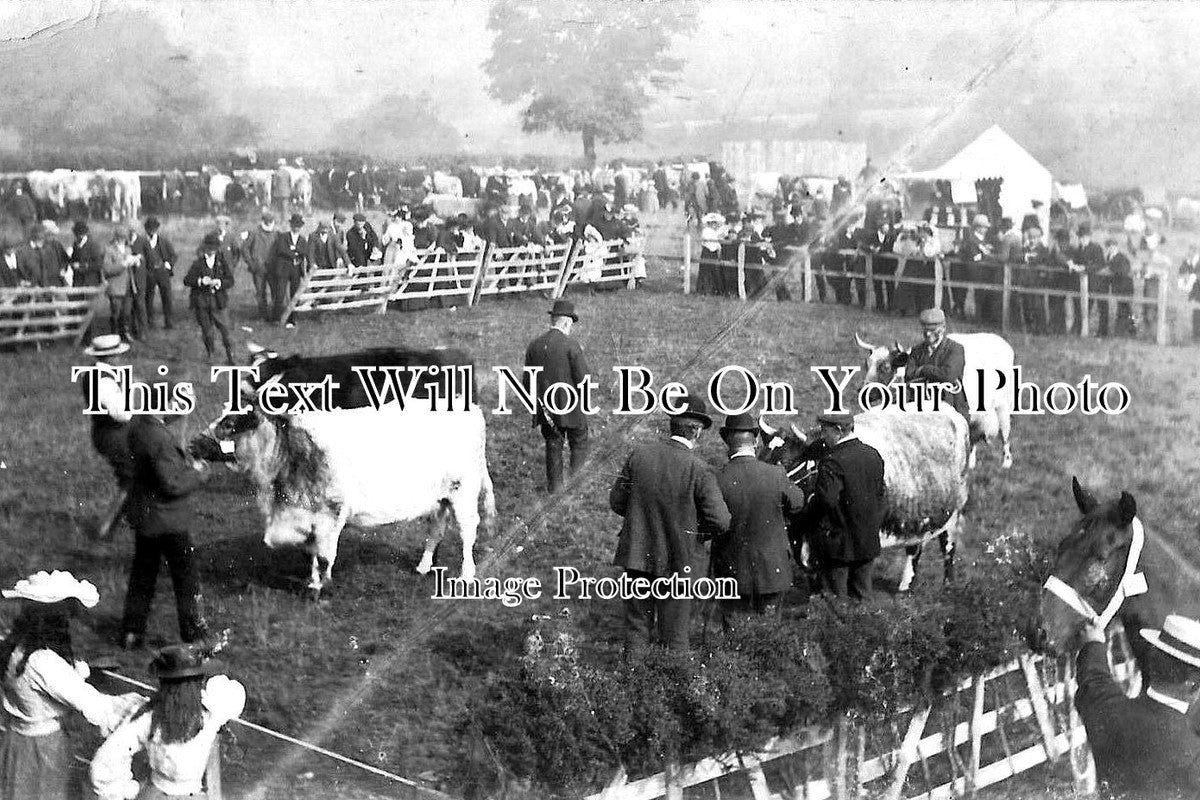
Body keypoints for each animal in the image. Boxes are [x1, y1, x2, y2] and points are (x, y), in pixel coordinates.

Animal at [190, 347, 496, 597]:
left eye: (231, 423)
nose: (193, 444)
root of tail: (469, 407)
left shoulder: (331, 514)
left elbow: (325, 556)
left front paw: (321, 589)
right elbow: (311, 553)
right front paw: (313, 582)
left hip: (464, 491)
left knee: (468, 530)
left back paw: (467, 574)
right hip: (441, 496)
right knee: (437, 527)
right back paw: (423, 566)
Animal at [763, 410, 969, 592]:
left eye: (786, 462)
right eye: (763, 456)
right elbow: (813, 574)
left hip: (955, 511)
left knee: (948, 546)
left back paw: (947, 585)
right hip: (918, 510)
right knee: (915, 547)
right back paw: (905, 588)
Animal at [854, 331, 1012, 470]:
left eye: (886, 367)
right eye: (866, 364)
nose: (865, 393)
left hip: (1003, 408)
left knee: (1005, 435)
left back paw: (1006, 463)